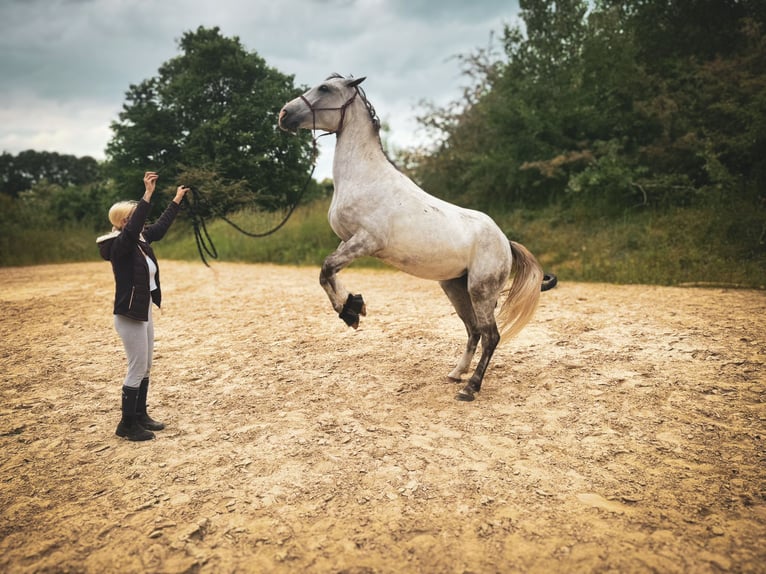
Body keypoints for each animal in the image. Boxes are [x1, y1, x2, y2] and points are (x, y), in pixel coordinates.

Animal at [280, 74, 544, 402]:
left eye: (325, 89)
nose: (284, 115)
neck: (365, 179)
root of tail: (505, 242)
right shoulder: (348, 241)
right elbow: (328, 273)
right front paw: (352, 306)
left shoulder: (366, 241)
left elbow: (326, 269)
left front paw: (350, 311)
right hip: (455, 287)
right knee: (474, 330)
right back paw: (456, 373)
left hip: (481, 290)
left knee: (490, 335)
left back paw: (470, 388)